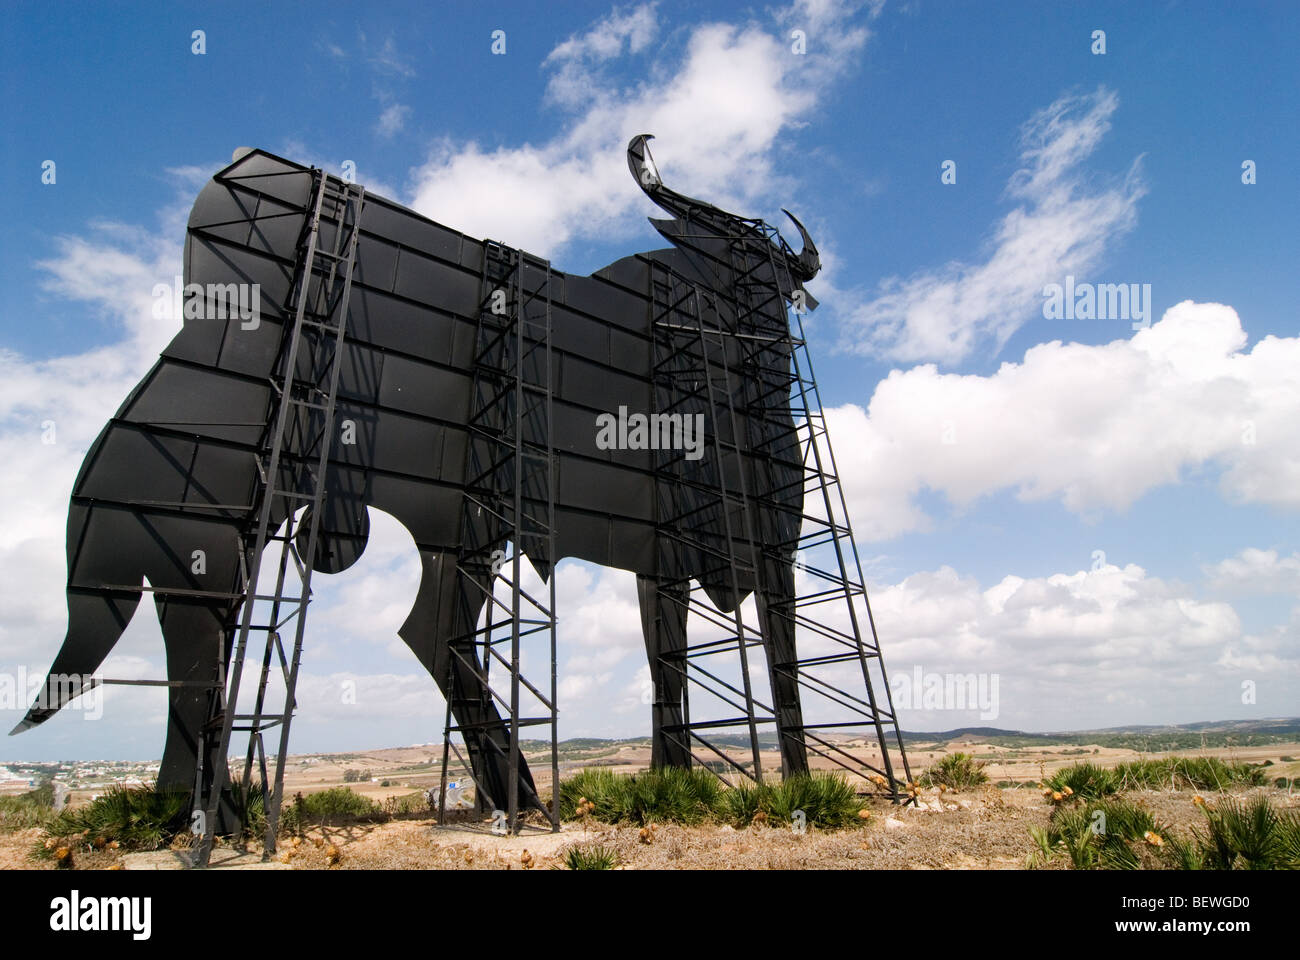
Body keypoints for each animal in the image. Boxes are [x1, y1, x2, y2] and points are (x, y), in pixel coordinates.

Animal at [11, 136, 823, 821]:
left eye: (770, 265)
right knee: (233, 617)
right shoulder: (768, 548)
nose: (775, 315)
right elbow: (779, 665)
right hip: (295, 502)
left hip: (443, 529)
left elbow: (669, 665)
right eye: (738, 258)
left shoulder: (665, 559)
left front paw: (675, 782)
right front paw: (798, 787)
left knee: (356, 628)